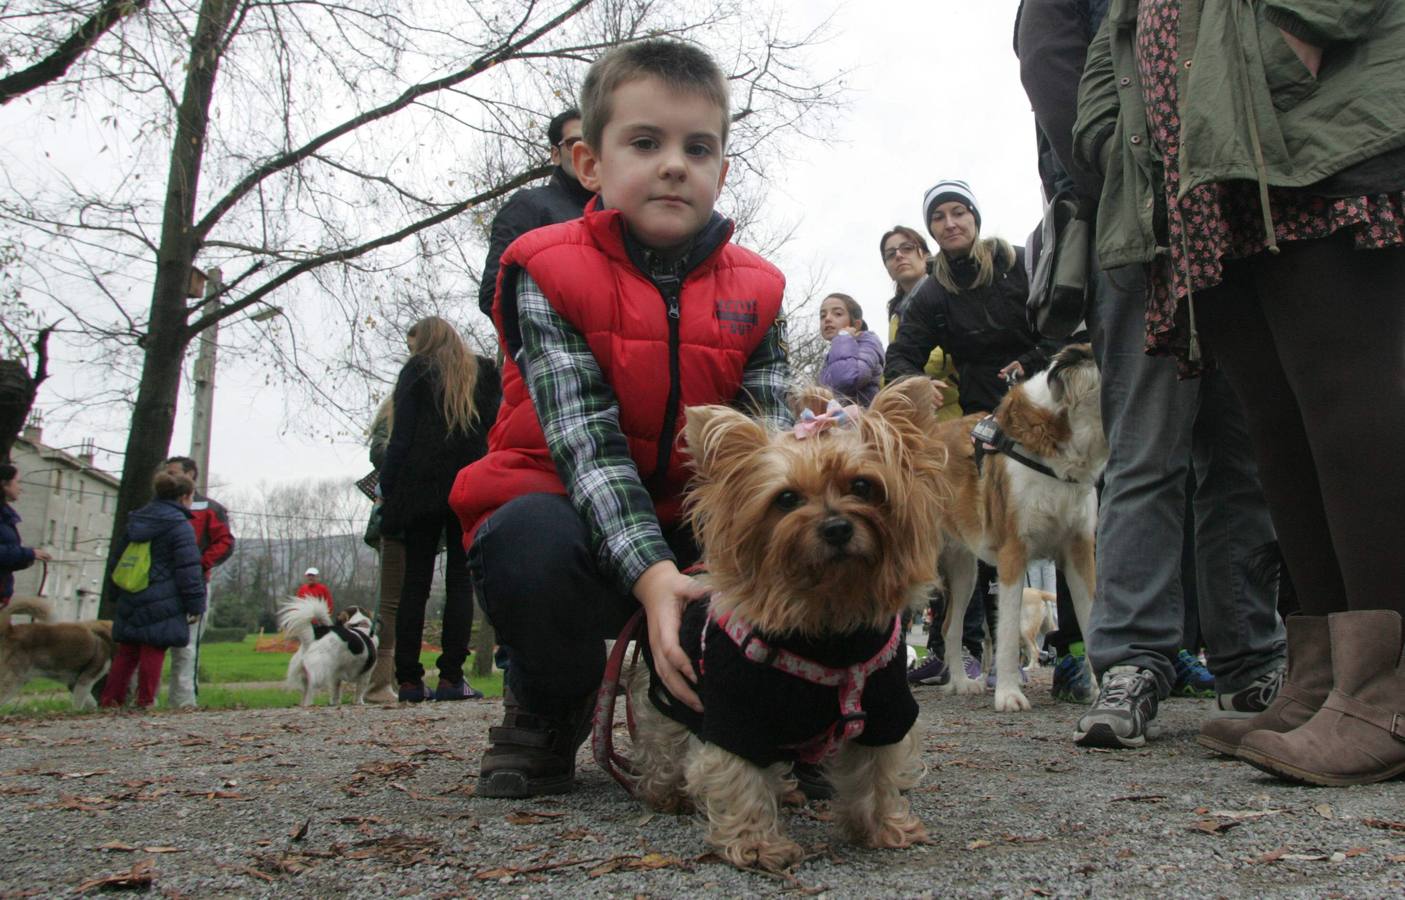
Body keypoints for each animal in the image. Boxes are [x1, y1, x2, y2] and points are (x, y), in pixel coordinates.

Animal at [632, 376, 949, 870]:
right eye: (785, 499)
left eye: (863, 485)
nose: (837, 527)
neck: (827, 619)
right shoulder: (737, 712)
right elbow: (739, 776)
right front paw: (758, 845)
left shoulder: (884, 706)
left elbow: (877, 771)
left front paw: (884, 827)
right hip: (673, 693)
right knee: (663, 741)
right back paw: (667, 793)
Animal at [932, 342, 1107, 707]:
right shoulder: (1013, 552)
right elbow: (1009, 631)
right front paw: (1009, 694)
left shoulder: (1080, 552)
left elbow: (1089, 620)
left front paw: (1101, 690)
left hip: (964, 571)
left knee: (950, 628)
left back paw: (961, 682)